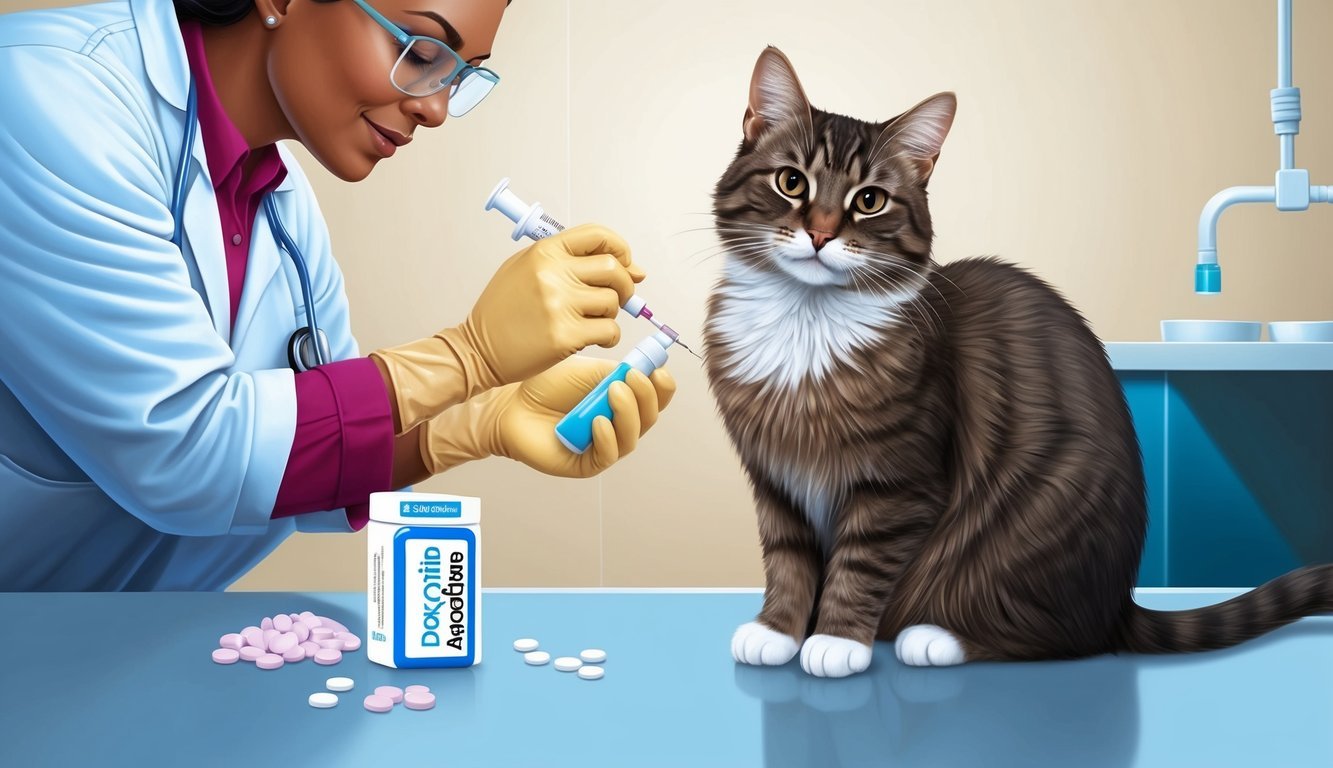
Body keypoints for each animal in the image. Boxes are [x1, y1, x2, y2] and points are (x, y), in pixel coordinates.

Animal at [703, 45, 1327, 677]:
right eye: (791, 182)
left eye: (869, 201)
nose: (821, 233)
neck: (803, 325)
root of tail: (1119, 605)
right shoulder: (775, 480)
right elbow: (787, 559)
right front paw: (778, 631)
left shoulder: (900, 484)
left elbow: (860, 565)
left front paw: (836, 641)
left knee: (1061, 637)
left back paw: (936, 638)